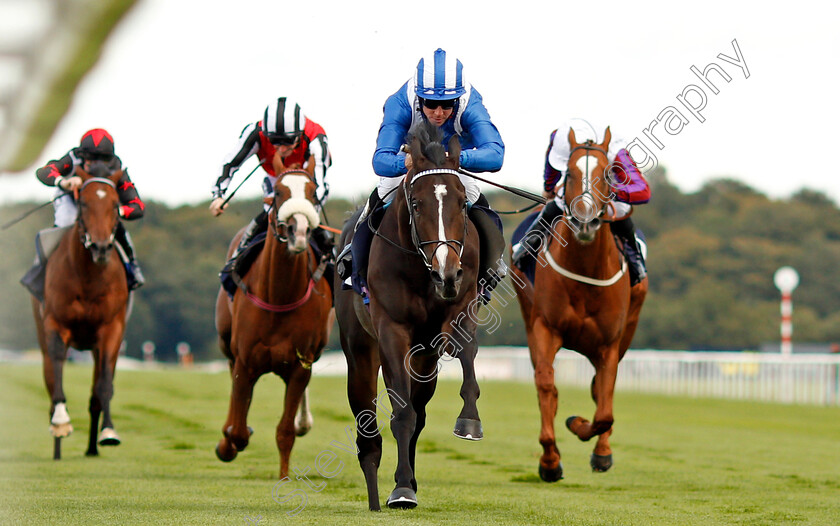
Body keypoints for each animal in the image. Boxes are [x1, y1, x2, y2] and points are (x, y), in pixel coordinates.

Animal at [31, 163, 131, 460]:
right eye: (83, 202)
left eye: (115, 205)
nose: (100, 247)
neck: (89, 277)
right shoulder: (56, 324)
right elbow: (57, 373)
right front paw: (61, 422)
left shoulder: (111, 329)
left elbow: (104, 385)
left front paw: (108, 432)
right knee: (51, 377)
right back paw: (57, 443)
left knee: (95, 393)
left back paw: (91, 449)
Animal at [213, 158, 332, 482]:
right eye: (278, 192)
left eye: (313, 192)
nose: (298, 231)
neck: (279, 296)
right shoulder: (245, 361)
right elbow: (238, 429)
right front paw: (227, 444)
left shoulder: (301, 365)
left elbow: (285, 431)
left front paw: (284, 477)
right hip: (227, 343)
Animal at [332, 122, 482, 512]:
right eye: (416, 203)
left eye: (462, 202)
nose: (447, 272)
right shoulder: (392, 332)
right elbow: (401, 414)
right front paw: (401, 489)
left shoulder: (459, 310)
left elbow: (467, 353)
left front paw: (470, 421)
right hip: (361, 350)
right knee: (367, 423)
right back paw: (375, 495)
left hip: (425, 357)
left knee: (419, 409)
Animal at [512, 128, 648, 482]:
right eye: (570, 174)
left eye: (608, 173)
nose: (585, 221)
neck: (586, 271)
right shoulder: (545, 328)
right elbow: (546, 386)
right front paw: (550, 460)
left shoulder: (610, 344)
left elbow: (604, 407)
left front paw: (590, 438)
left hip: (630, 327)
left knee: (601, 393)